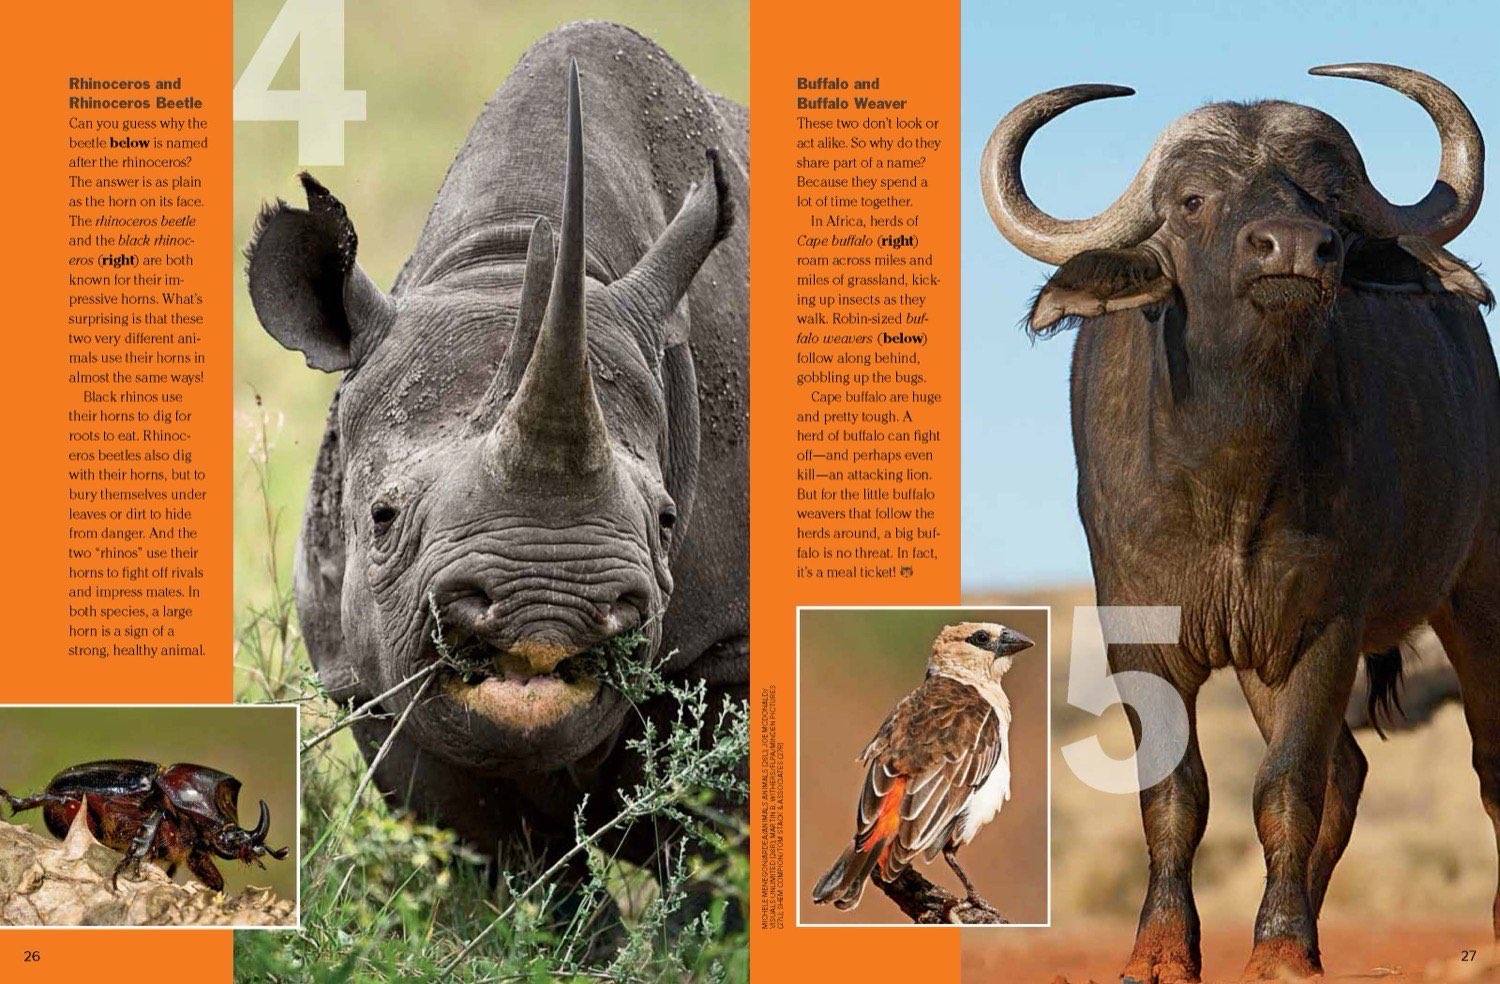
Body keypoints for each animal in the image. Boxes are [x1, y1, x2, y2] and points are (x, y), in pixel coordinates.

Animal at [244, 22, 747, 874]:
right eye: (381, 517)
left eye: (667, 521)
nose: (548, 608)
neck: (501, 262)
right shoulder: (364, 677)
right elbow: (502, 857)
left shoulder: (729, 648)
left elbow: (716, 849)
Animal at [983, 64, 1498, 981]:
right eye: (1193, 201)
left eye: (1331, 196)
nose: (1292, 249)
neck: (1229, 480)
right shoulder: (1139, 631)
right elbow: (1174, 791)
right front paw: (1161, 950)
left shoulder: (1324, 629)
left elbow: (1285, 786)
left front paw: (1281, 949)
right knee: (1352, 769)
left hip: (1478, 588)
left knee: (1482, 759)